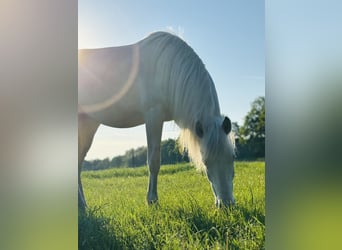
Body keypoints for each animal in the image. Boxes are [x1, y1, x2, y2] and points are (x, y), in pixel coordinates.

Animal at [79, 31, 236, 209]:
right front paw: (152, 201)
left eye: (232, 157)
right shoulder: (153, 116)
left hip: (87, 123)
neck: (166, 69)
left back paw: (83, 206)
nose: (227, 204)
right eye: (206, 161)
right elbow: (154, 161)